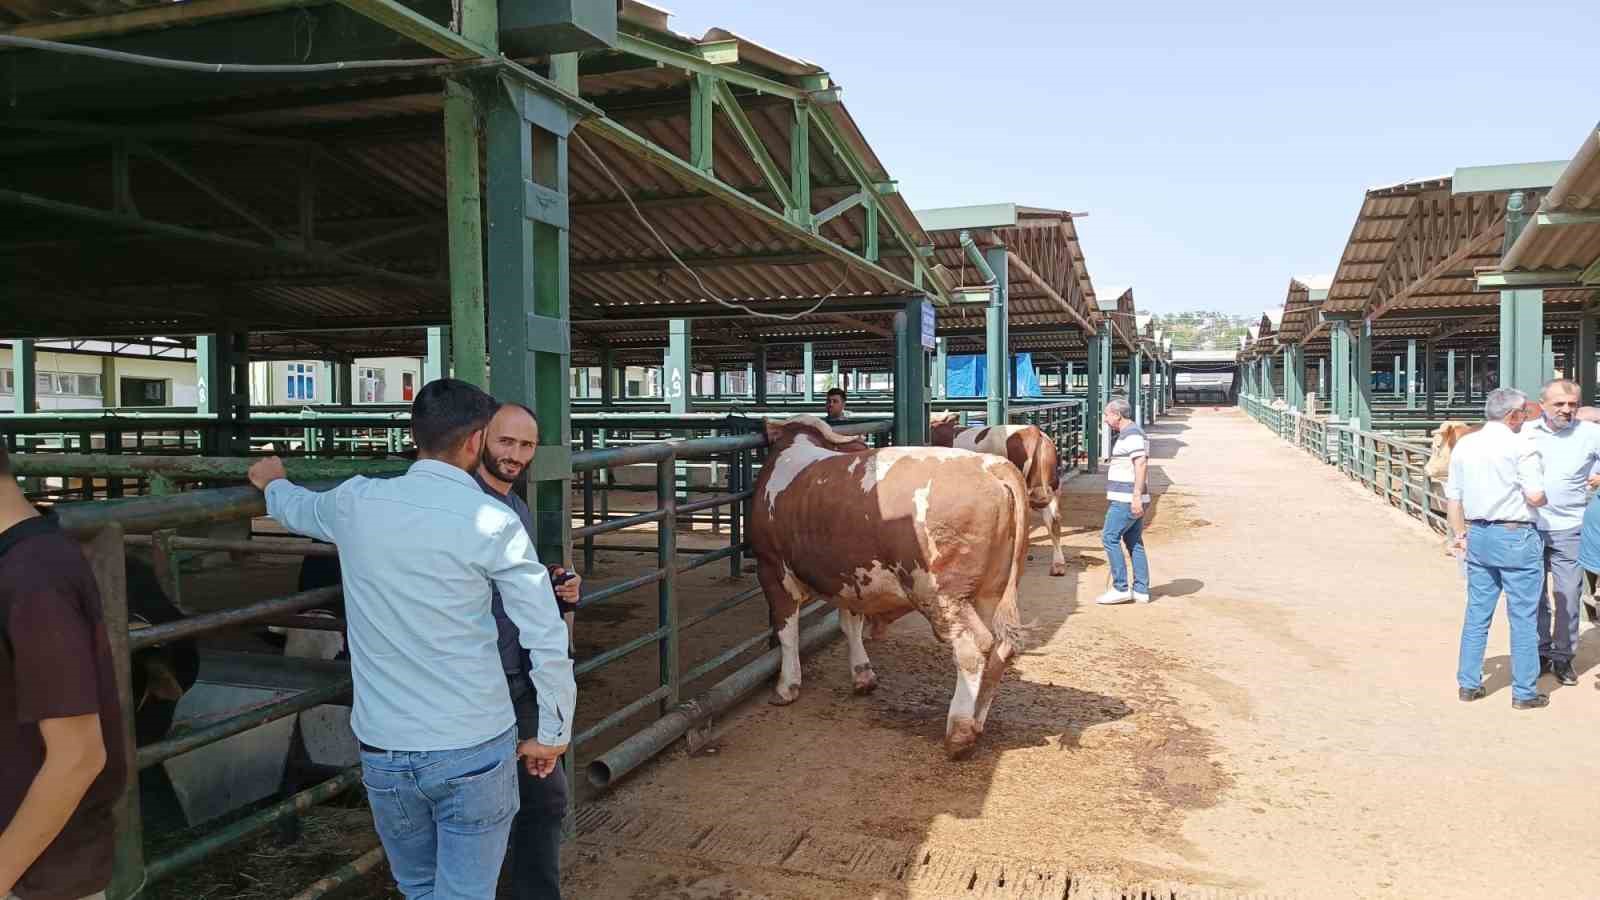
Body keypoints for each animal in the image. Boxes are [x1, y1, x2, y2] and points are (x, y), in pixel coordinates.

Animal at [755, 413, 1030, 755]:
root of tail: (990, 465)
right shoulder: (850, 578)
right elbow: (850, 625)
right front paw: (863, 675)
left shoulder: (771, 568)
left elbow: (786, 631)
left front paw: (786, 687)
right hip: (992, 592)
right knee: (1001, 647)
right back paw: (977, 721)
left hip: (944, 596)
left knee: (973, 647)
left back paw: (959, 732)